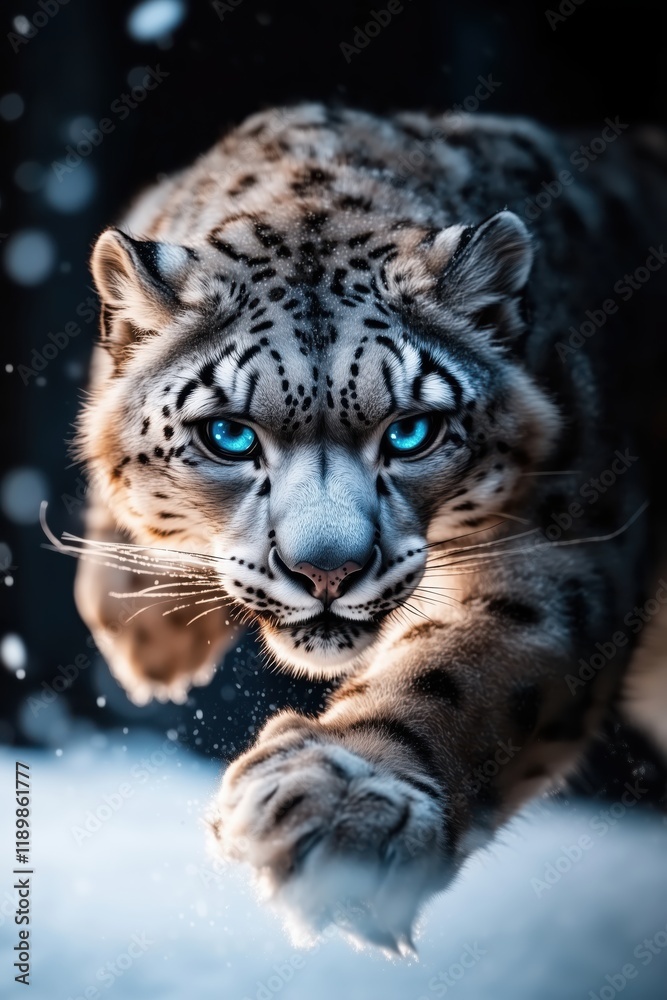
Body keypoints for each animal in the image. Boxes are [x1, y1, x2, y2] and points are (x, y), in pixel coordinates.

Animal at [67, 103, 667, 954]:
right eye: (229, 436)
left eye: (411, 432)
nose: (328, 570)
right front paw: (143, 628)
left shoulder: (567, 536)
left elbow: (477, 656)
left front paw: (343, 804)